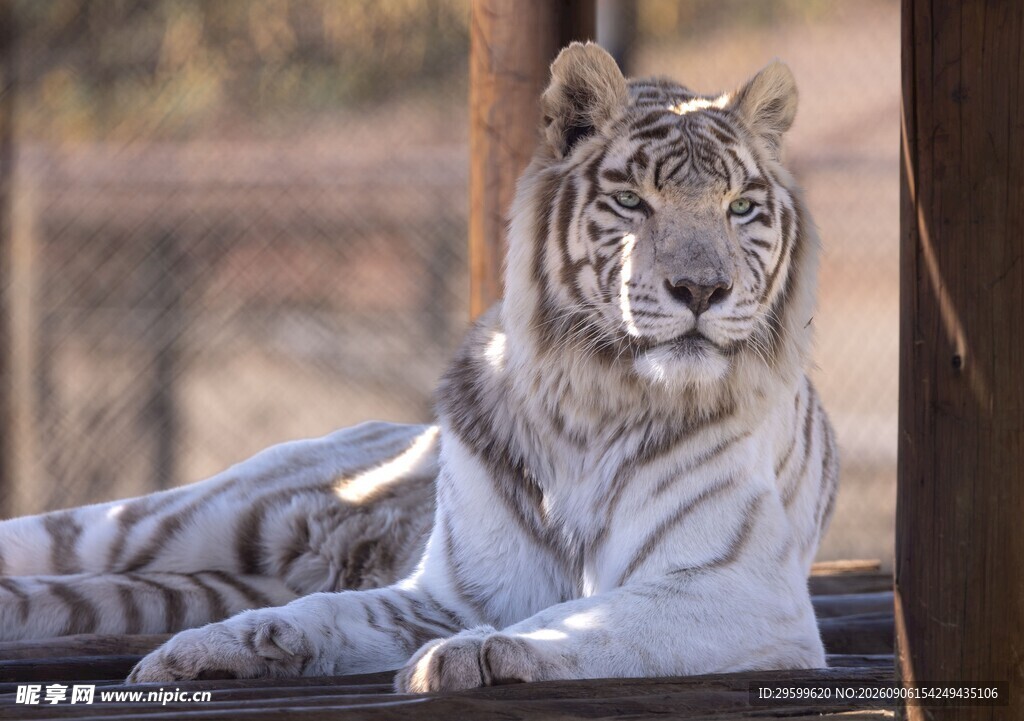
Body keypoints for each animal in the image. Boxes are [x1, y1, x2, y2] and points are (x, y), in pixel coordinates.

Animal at [0, 43, 838, 692]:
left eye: (739, 207)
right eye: (632, 200)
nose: (701, 289)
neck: (593, 401)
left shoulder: (734, 589)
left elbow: (589, 615)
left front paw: (479, 653)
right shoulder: (448, 589)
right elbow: (323, 610)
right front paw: (209, 648)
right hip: (142, 522)